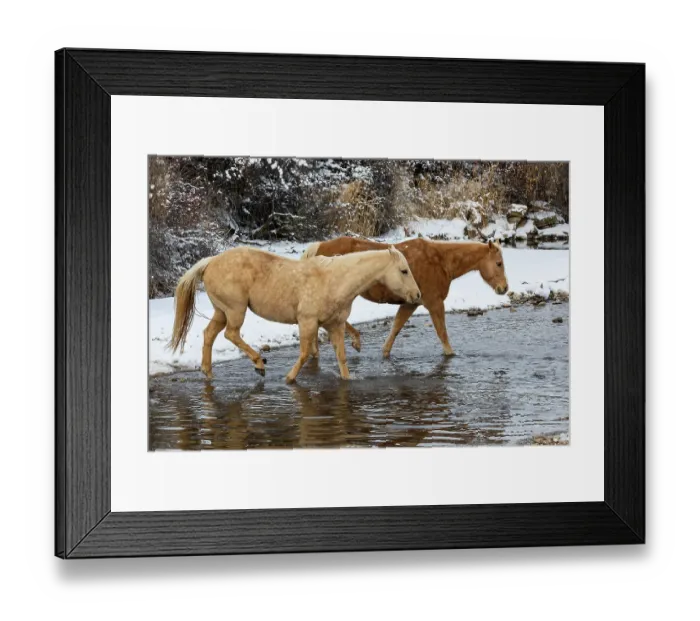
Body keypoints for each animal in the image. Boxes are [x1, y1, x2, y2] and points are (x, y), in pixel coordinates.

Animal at [169, 246, 421, 383]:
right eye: (404, 270)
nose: (417, 295)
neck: (335, 280)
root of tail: (210, 262)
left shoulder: (335, 325)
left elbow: (341, 357)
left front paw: (347, 378)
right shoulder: (307, 322)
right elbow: (304, 353)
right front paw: (289, 378)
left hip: (222, 311)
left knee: (210, 334)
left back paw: (208, 372)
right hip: (235, 310)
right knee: (230, 334)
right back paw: (259, 364)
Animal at [302, 236, 508, 358]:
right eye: (498, 263)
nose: (504, 288)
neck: (441, 261)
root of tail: (318, 248)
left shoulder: (411, 304)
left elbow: (396, 328)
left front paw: (385, 352)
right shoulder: (435, 304)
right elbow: (442, 334)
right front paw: (450, 354)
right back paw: (355, 340)